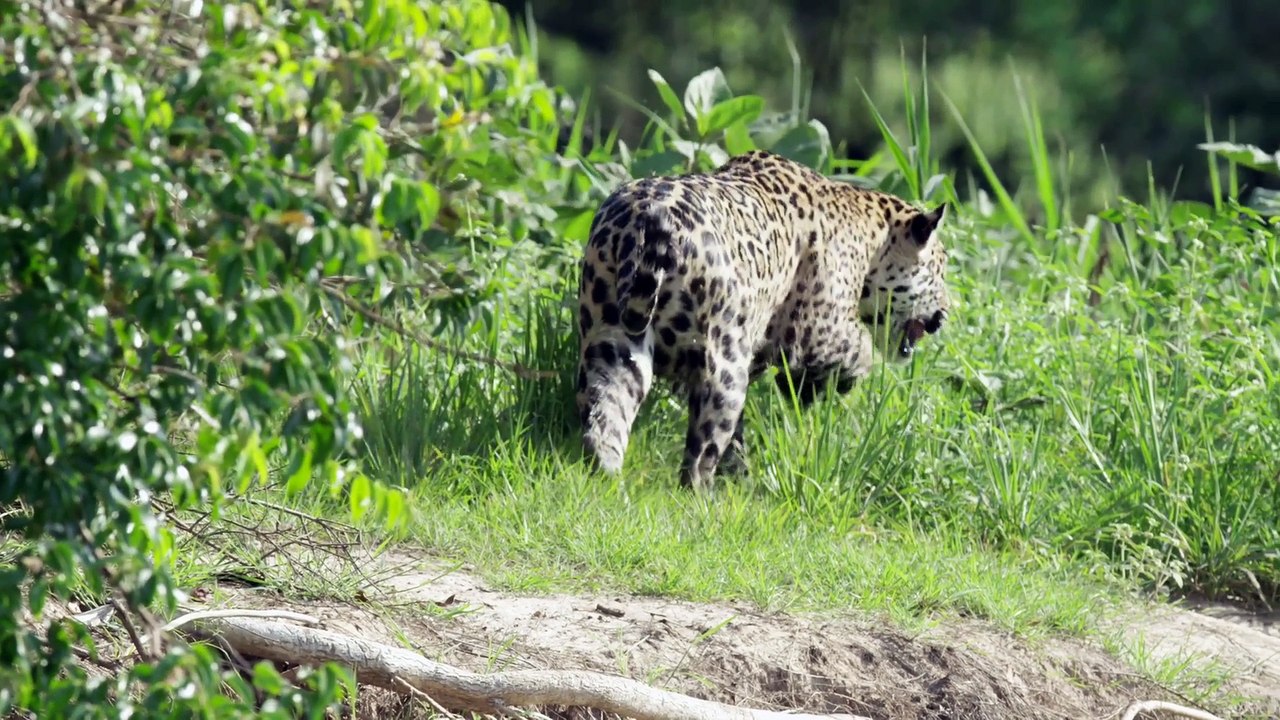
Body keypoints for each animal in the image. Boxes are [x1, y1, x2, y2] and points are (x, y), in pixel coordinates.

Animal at [574, 149, 950, 491]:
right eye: (940, 269)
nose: (945, 314)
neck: (872, 234)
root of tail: (647, 222)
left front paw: (741, 469)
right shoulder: (817, 329)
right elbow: (859, 347)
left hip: (613, 342)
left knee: (604, 414)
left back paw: (607, 477)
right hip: (724, 367)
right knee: (700, 454)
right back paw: (702, 500)